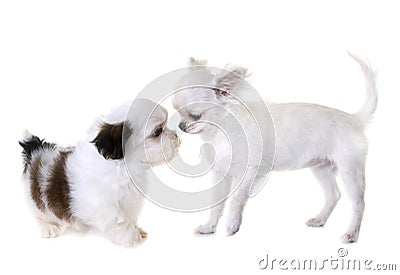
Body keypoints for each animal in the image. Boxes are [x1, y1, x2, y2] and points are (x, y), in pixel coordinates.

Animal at [19, 99, 180, 248]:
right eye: (157, 132)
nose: (176, 135)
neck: (123, 167)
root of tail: (35, 149)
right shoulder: (106, 206)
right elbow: (120, 221)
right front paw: (131, 238)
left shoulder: (130, 201)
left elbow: (130, 218)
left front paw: (137, 230)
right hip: (36, 200)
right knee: (39, 215)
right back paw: (49, 227)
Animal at [173, 54, 378, 244]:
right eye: (178, 112)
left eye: (196, 116)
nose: (181, 126)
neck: (222, 131)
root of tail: (354, 119)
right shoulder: (221, 173)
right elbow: (216, 204)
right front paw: (209, 227)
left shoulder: (248, 172)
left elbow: (236, 198)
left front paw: (232, 224)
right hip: (322, 169)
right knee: (334, 195)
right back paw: (320, 220)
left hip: (350, 170)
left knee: (359, 203)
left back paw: (352, 234)